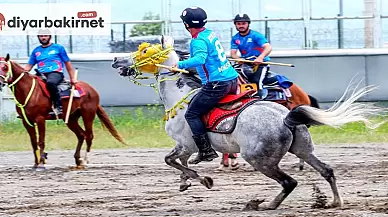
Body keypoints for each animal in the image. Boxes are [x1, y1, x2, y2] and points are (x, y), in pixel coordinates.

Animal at [110, 36, 386, 210]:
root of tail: (285, 117)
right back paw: (335, 202)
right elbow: (181, 163)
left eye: (143, 51)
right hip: (303, 149)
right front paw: (186, 181)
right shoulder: (186, 147)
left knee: (289, 182)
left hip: (259, 158)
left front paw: (201, 179)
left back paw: (265, 204)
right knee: (326, 170)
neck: (181, 97)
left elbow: (172, 160)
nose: (115, 61)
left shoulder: (186, 143)